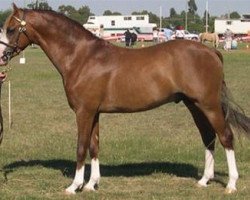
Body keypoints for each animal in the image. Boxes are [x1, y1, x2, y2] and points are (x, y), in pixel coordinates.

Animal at [0, 5, 250, 195]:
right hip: (194, 105)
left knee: (225, 136)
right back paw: (204, 180)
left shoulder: (83, 112)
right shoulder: (94, 112)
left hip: (209, 105)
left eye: (11, 29)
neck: (81, 57)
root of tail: (211, 52)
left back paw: (231, 184)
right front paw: (91, 184)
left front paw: (74, 186)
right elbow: (94, 146)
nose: (1, 57)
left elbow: (81, 147)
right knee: (208, 137)